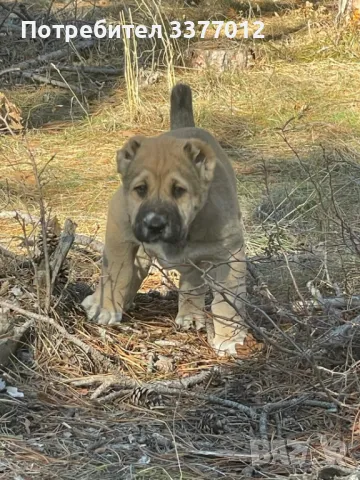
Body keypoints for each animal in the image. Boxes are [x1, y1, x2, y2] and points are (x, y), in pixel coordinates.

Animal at [82, 83, 248, 356]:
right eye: (140, 189)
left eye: (179, 190)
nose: (155, 224)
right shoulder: (119, 223)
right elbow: (117, 270)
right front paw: (107, 307)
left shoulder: (230, 252)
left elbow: (227, 301)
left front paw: (229, 338)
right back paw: (100, 301)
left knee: (192, 281)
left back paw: (190, 314)